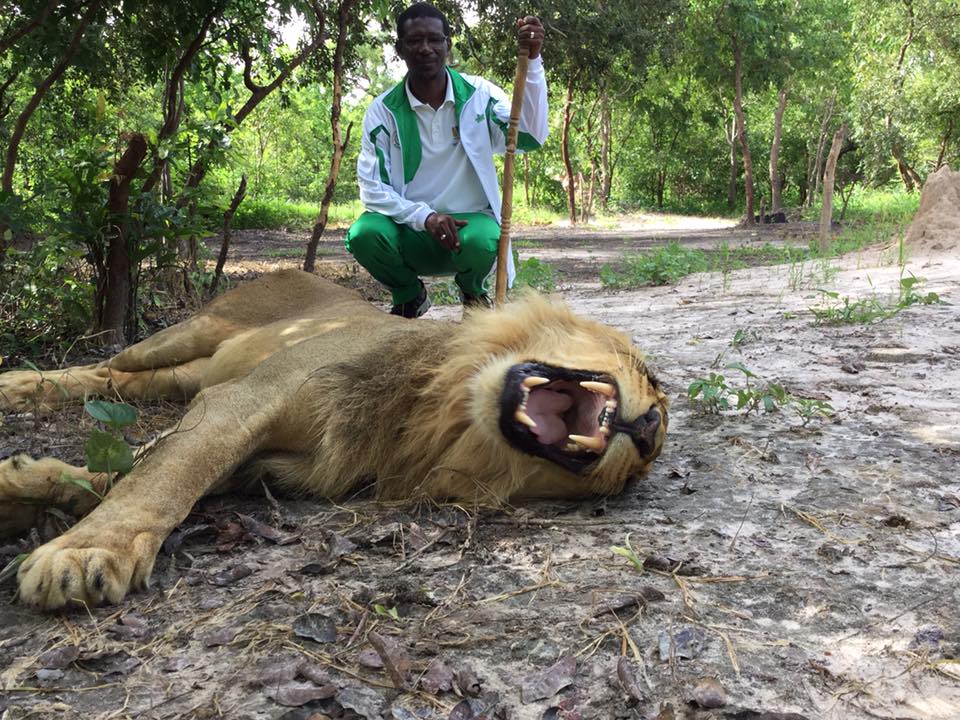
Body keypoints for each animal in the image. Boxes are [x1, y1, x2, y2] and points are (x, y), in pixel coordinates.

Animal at [0, 270, 664, 608]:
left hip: (192, 370)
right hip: (192, 330)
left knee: (123, 382)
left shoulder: (263, 462)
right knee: (106, 363)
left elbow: (138, 470)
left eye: (632, 477)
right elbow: (165, 478)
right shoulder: (243, 400)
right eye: (649, 375)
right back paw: (17, 383)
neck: (436, 412)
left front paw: (27, 490)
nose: (650, 429)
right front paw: (87, 550)